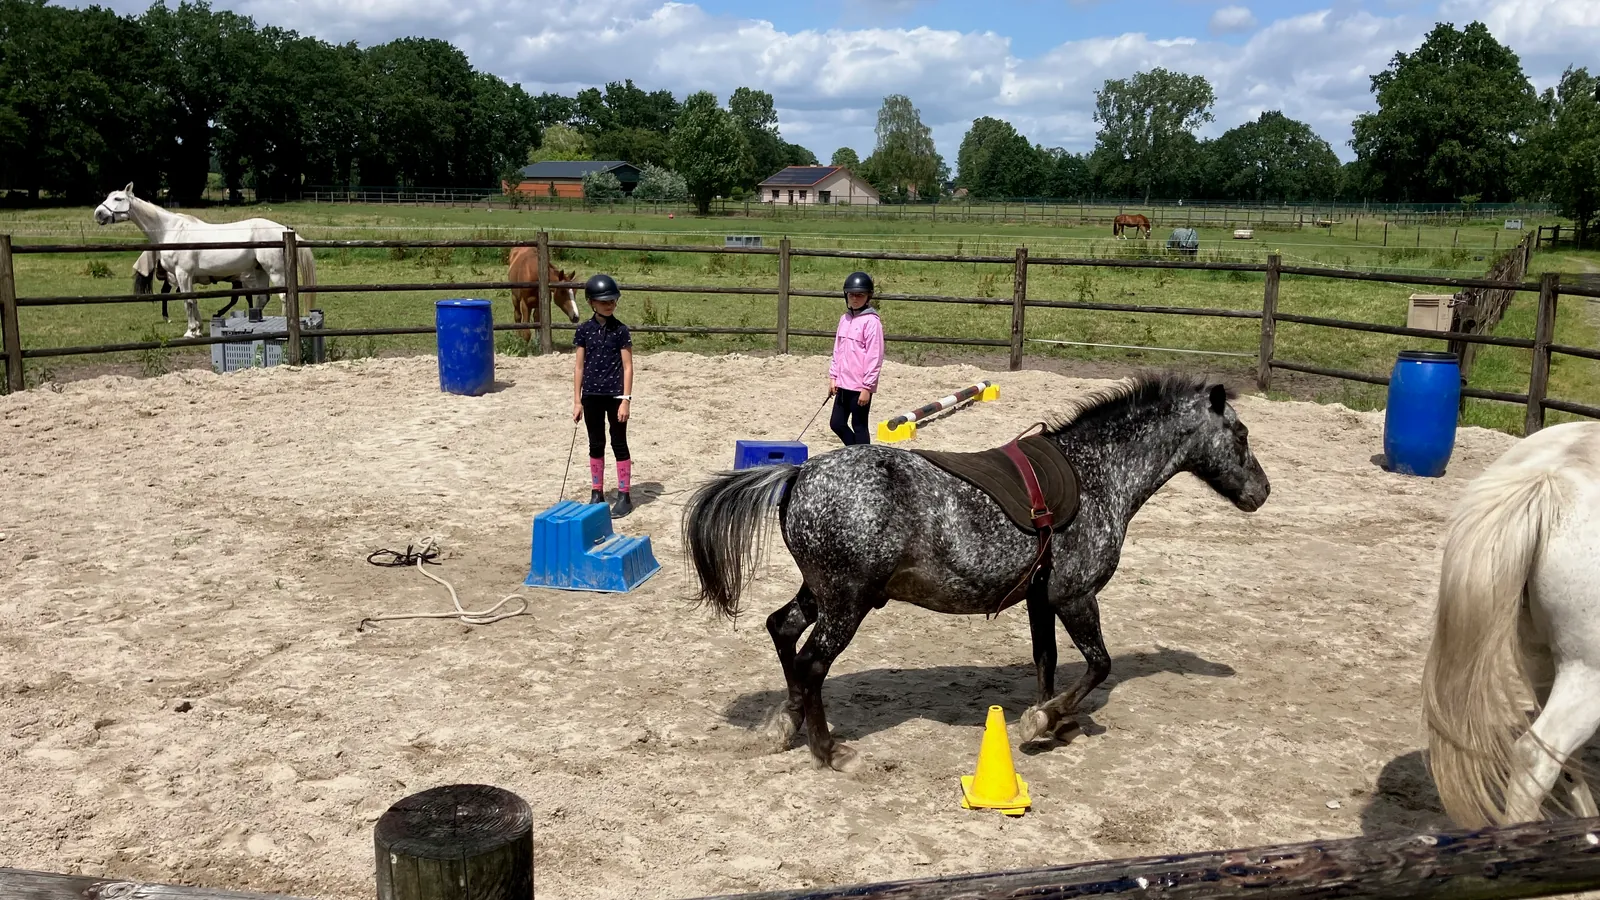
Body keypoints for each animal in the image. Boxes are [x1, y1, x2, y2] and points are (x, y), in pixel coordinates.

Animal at [93, 184, 317, 338]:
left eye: (118, 198)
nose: (98, 213)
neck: (171, 231)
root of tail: (285, 230)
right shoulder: (187, 277)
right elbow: (194, 301)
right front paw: (199, 329)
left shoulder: (183, 274)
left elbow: (188, 301)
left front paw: (191, 331)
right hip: (260, 270)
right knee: (263, 298)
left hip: (275, 271)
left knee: (283, 297)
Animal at [681, 373, 1272, 771]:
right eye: (1241, 435)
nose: (1261, 493)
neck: (1096, 474)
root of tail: (799, 474)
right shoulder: (1076, 596)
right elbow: (1098, 665)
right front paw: (1044, 721)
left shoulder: (1041, 597)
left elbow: (1046, 661)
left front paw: (1053, 720)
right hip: (847, 603)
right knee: (811, 663)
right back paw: (829, 751)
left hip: (822, 593)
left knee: (782, 632)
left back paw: (786, 724)